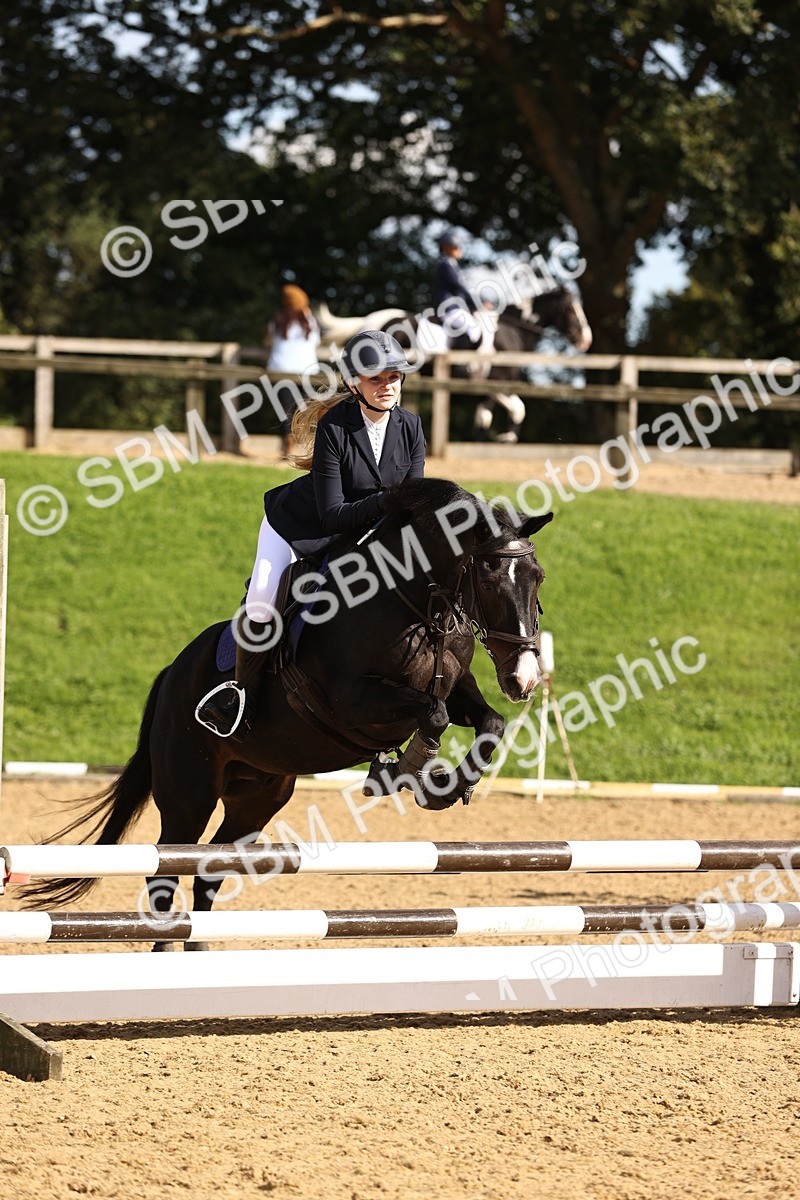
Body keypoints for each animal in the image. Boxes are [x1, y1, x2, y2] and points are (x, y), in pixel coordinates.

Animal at [23, 478, 553, 947]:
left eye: (538, 578)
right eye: (488, 574)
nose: (524, 679)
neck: (415, 605)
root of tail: (172, 672)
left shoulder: (457, 685)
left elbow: (488, 721)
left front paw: (448, 784)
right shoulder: (354, 702)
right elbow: (433, 714)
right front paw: (412, 772)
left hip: (257, 797)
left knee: (209, 872)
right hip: (188, 795)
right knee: (165, 876)